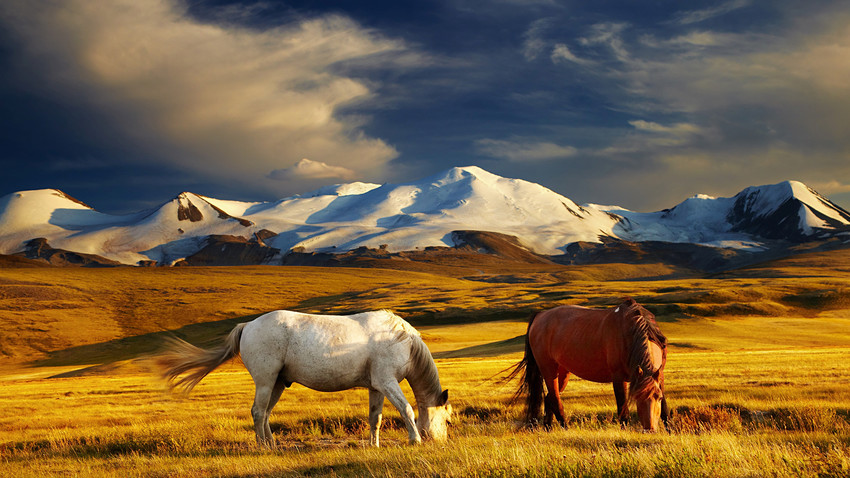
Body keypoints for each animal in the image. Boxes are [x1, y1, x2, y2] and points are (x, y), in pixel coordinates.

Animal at [158, 310, 450, 448]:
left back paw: (272, 444)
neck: (403, 341)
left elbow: (374, 419)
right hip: (266, 381)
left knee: (265, 413)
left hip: (277, 383)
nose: (440, 442)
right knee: (258, 412)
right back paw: (263, 447)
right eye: (448, 420)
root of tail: (248, 325)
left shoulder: (377, 387)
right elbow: (407, 410)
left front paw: (374, 444)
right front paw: (415, 440)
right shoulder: (388, 383)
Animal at [506, 296, 664, 432]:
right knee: (555, 399)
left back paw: (548, 428)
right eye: (637, 397)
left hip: (562, 372)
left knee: (549, 397)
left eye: (659, 397)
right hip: (548, 370)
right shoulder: (619, 378)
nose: (649, 430)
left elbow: (665, 411)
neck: (631, 331)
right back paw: (565, 428)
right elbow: (622, 409)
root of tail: (540, 315)